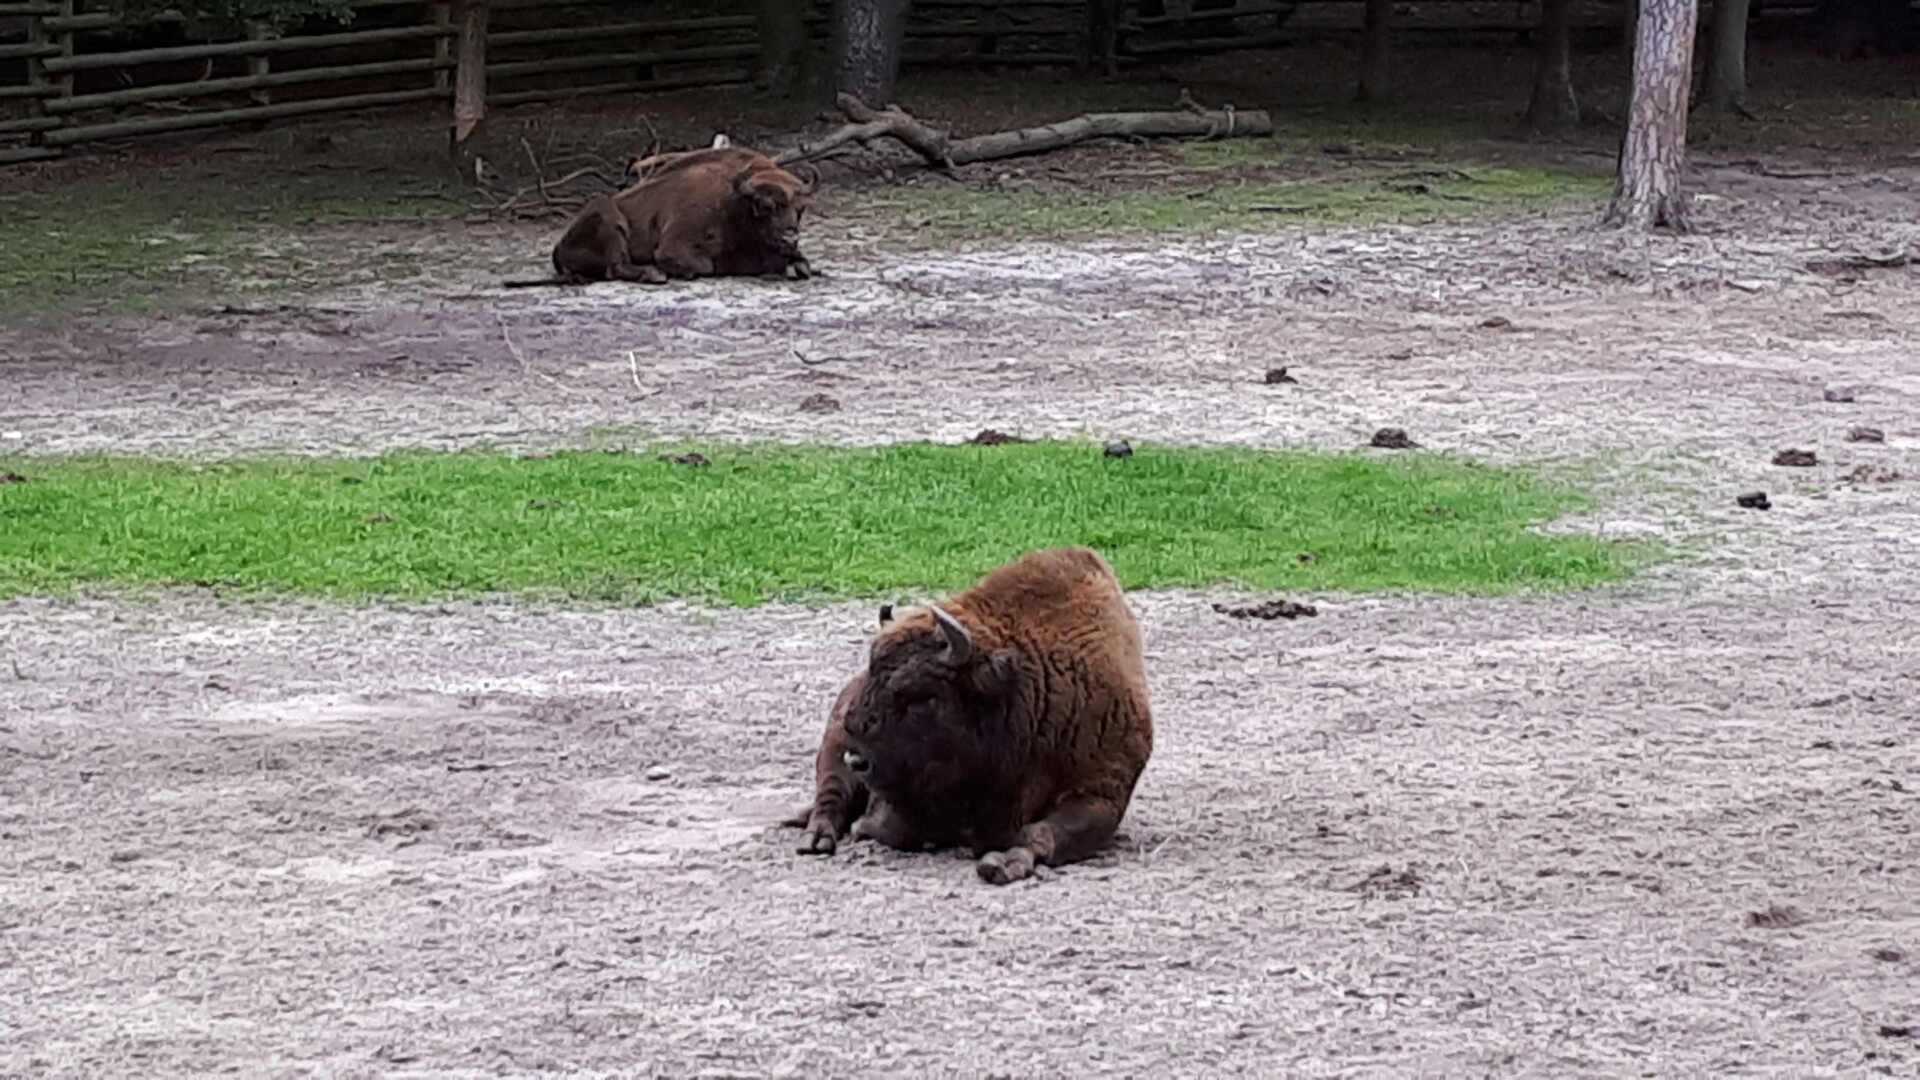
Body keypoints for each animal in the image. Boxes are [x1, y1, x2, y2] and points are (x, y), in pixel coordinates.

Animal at [784, 547, 1155, 885]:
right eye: (872, 672)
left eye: (923, 695)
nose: (858, 758)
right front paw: (865, 827)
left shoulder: (1101, 795)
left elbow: (1040, 833)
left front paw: (1002, 864)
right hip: (832, 750)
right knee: (830, 796)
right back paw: (815, 839)